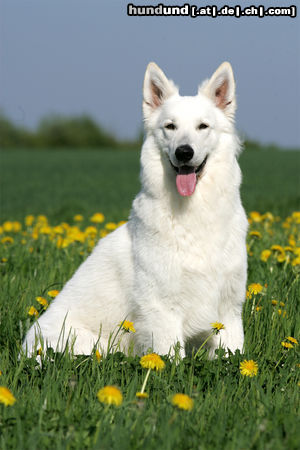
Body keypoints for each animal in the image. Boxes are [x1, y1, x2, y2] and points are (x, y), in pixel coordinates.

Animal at [22, 62, 248, 358]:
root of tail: (22, 349)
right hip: (87, 345)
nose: (184, 152)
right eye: (170, 127)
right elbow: (169, 360)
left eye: (203, 126)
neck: (194, 214)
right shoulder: (162, 311)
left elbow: (234, 355)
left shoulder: (229, 310)